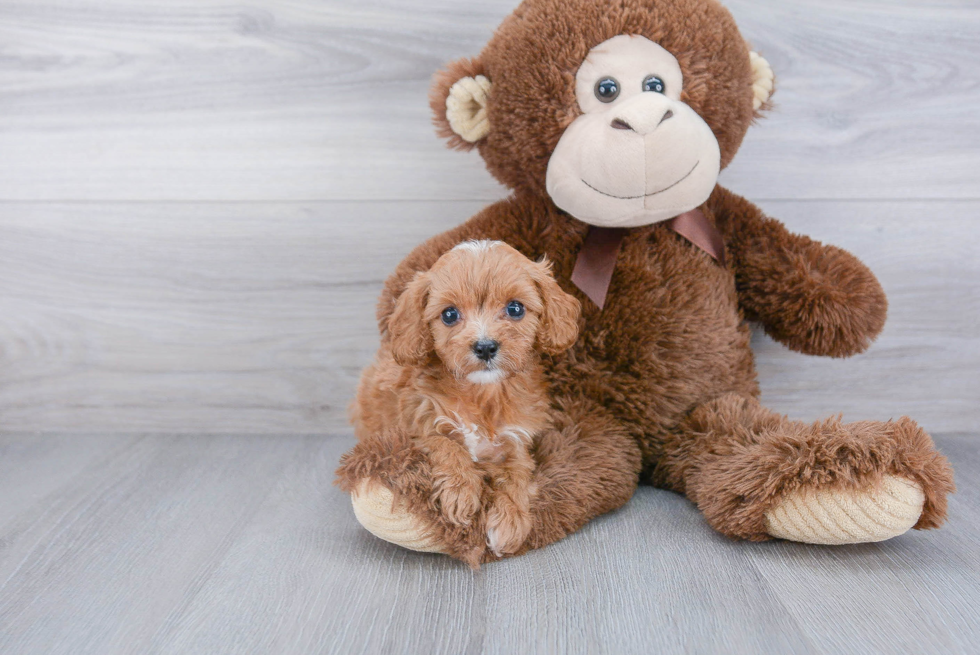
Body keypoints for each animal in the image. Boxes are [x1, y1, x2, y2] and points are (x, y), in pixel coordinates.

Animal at [352, 241, 580, 560]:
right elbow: (445, 444)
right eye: (449, 314)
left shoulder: (516, 441)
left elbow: (517, 476)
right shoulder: (417, 423)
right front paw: (460, 493)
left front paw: (509, 522)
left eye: (515, 308)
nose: (485, 347)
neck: (482, 394)